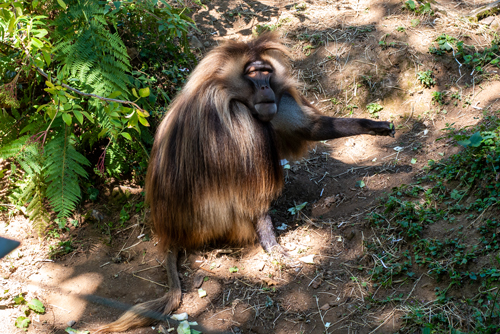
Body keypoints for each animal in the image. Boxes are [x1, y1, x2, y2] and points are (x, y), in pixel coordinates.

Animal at [95, 34, 394, 334]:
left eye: (266, 71)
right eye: (252, 73)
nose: (264, 87)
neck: (229, 90)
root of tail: (171, 232)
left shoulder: (277, 98)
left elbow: (311, 129)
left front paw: (374, 126)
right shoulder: (236, 116)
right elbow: (251, 191)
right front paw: (273, 246)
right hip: (212, 220)